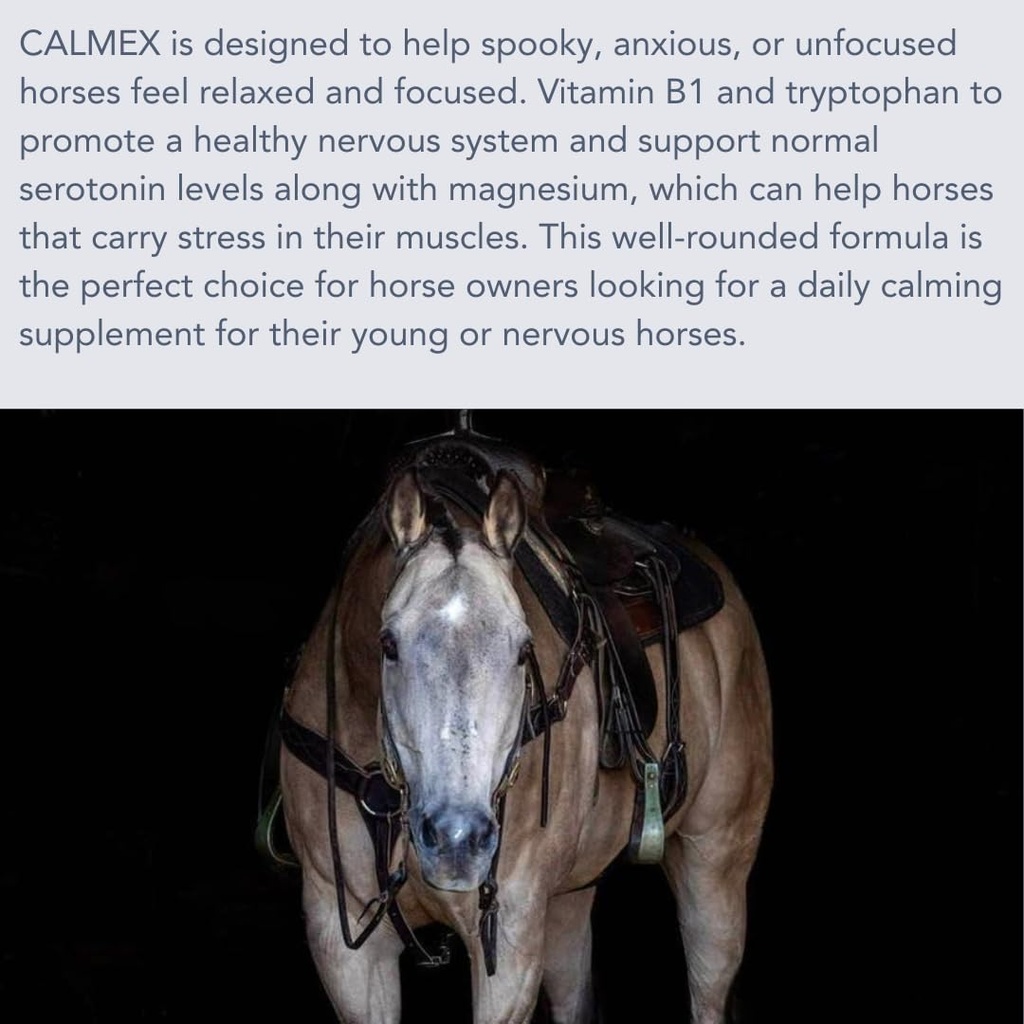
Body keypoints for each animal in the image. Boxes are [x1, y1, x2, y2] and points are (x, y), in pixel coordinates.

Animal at [277, 433, 773, 1024]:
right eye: (388, 644)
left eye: (523, 649)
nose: (458, 839)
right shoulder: (344, 945)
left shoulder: (509, 935)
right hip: (567, 900)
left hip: (716, 860)